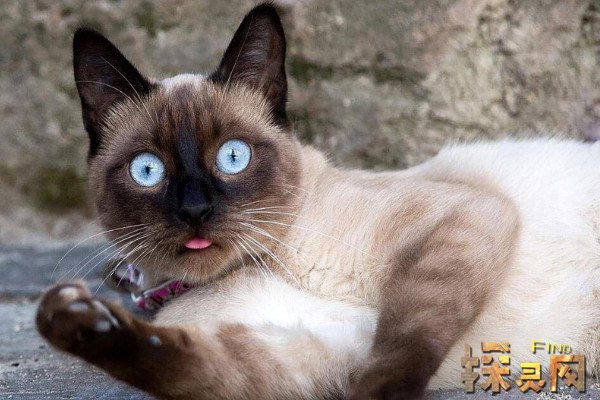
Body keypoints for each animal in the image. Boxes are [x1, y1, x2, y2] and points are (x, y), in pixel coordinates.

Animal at [36, 3, 600, 399]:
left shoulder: (463, 220)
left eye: (233, 156)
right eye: (147, 170)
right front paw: (71, 319)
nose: (195, 210)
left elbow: (405, 342)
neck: (267, 260)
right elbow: (173, 364)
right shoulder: (305, 351)